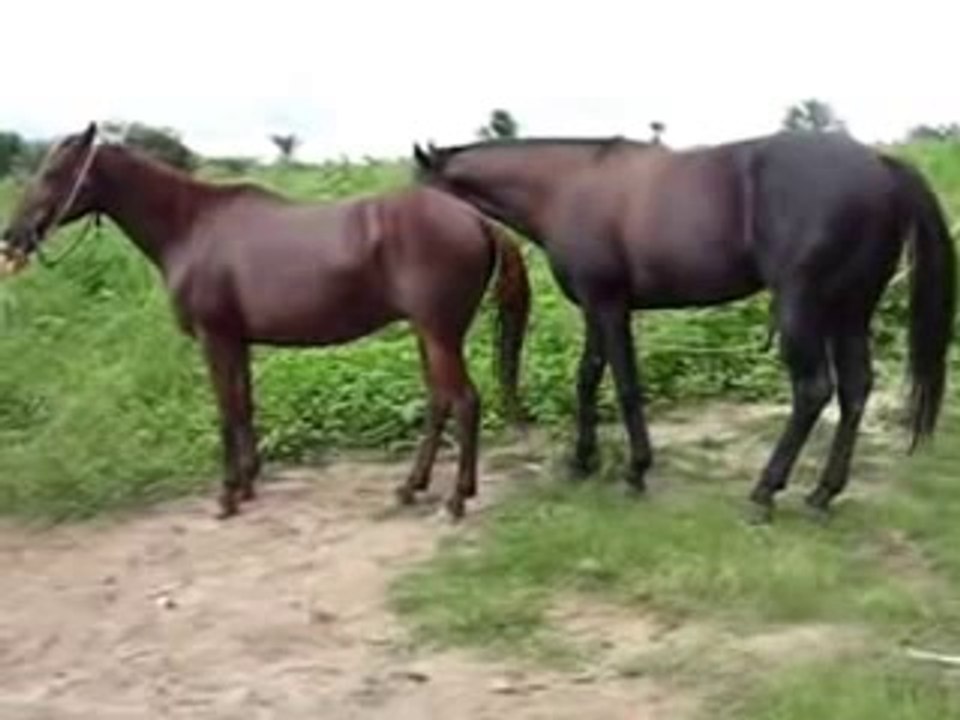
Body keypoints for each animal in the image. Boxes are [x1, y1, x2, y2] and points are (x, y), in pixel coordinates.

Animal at [0, 122, 531, 520]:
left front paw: (227, 496)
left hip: (439, 333)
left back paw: (456, 498)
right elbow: (245, 407)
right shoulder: (238, 341)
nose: (13, 238)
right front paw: (248, 483)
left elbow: (225, 410)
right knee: (440, 401)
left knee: (464, 402)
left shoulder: (214, 339)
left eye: (54, 172)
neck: (193, 226)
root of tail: (475, 219)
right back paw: (410, 487)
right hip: (430, 333)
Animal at [412, 131, 957, 522]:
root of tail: (881, 167)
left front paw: (635, 471)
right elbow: (588, 378)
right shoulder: (597, 307)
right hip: (849, 312)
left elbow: (625, 385)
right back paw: (822, 493)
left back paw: (764, 493)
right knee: (856, 389)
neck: (566, 188)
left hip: (802, 308)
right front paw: (582, 462)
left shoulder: (608, 305)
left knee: (813, 391)